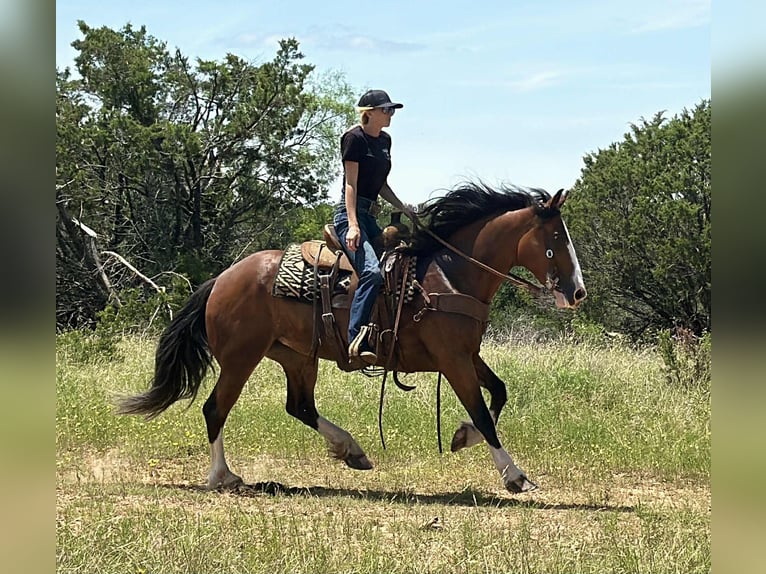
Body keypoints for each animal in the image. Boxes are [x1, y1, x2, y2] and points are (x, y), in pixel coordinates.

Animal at [118, 182, 587, 494]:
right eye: (556, 237)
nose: (578, 293)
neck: (449, 276)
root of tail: (222, 279)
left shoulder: (467, 355)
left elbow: (499, 394)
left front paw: (462, 437)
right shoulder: (453, 360)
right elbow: (485, 414)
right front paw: (515, 475)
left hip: (296, 357)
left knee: (300, 407)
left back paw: (351, 450)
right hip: (240, 357)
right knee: (216, 408)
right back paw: (223, 476)